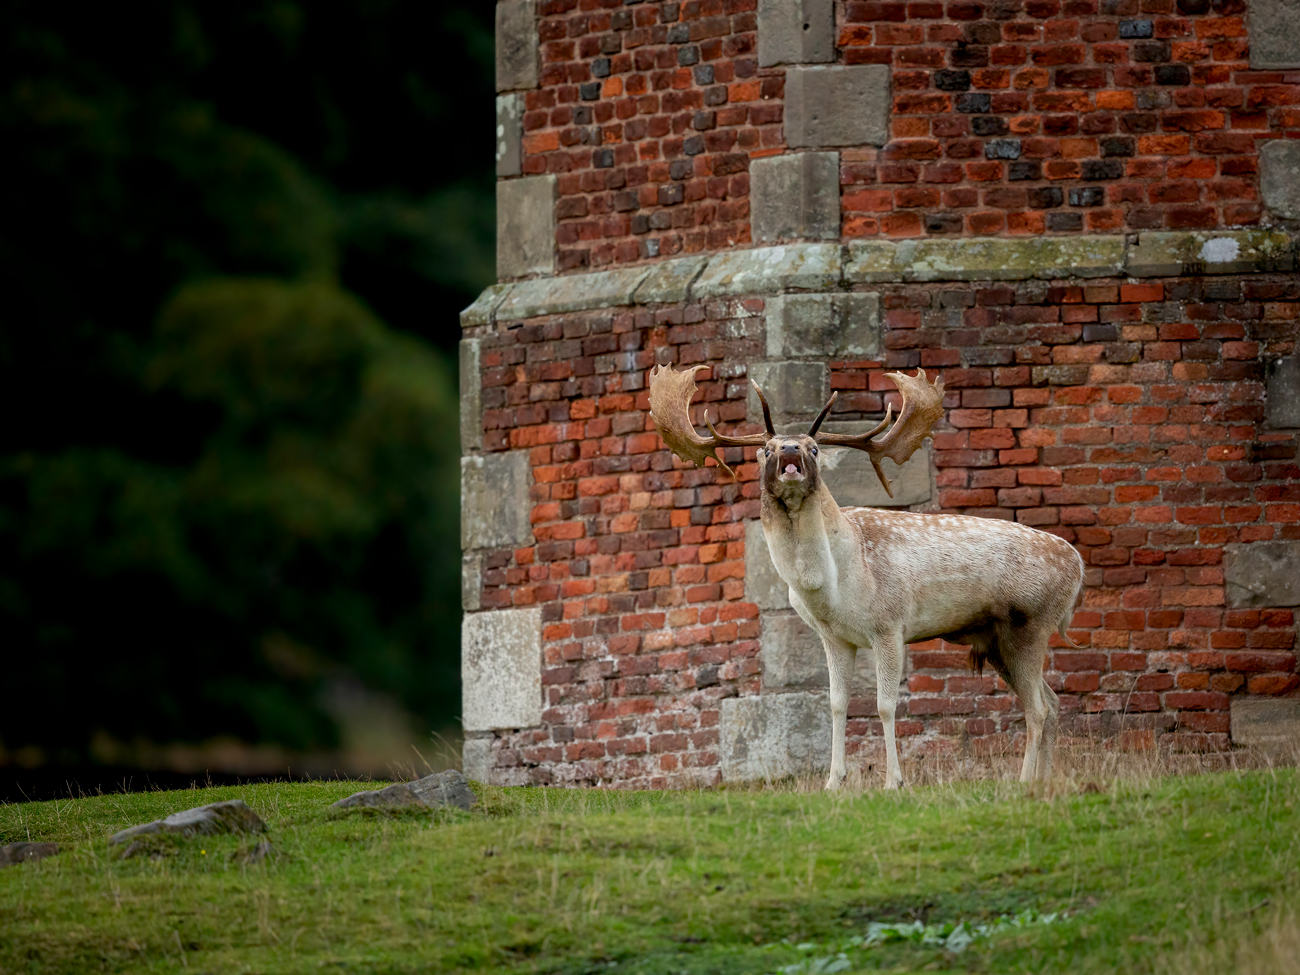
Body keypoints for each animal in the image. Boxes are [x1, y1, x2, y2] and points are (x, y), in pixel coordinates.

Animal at [647, 363, 1085, 790]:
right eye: (765, 450)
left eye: (814, 447)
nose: (790, 449)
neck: (837, 584)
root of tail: (1078, 566)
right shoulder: (834, 637)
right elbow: (836, 704)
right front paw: (833, 782)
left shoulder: (890, 624)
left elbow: (885, 704)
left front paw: (894, 782)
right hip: (996, 640)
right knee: (1051, 701)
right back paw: (1043, 782)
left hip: (1031, 623)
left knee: (1038, 707)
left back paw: (1025, 782)